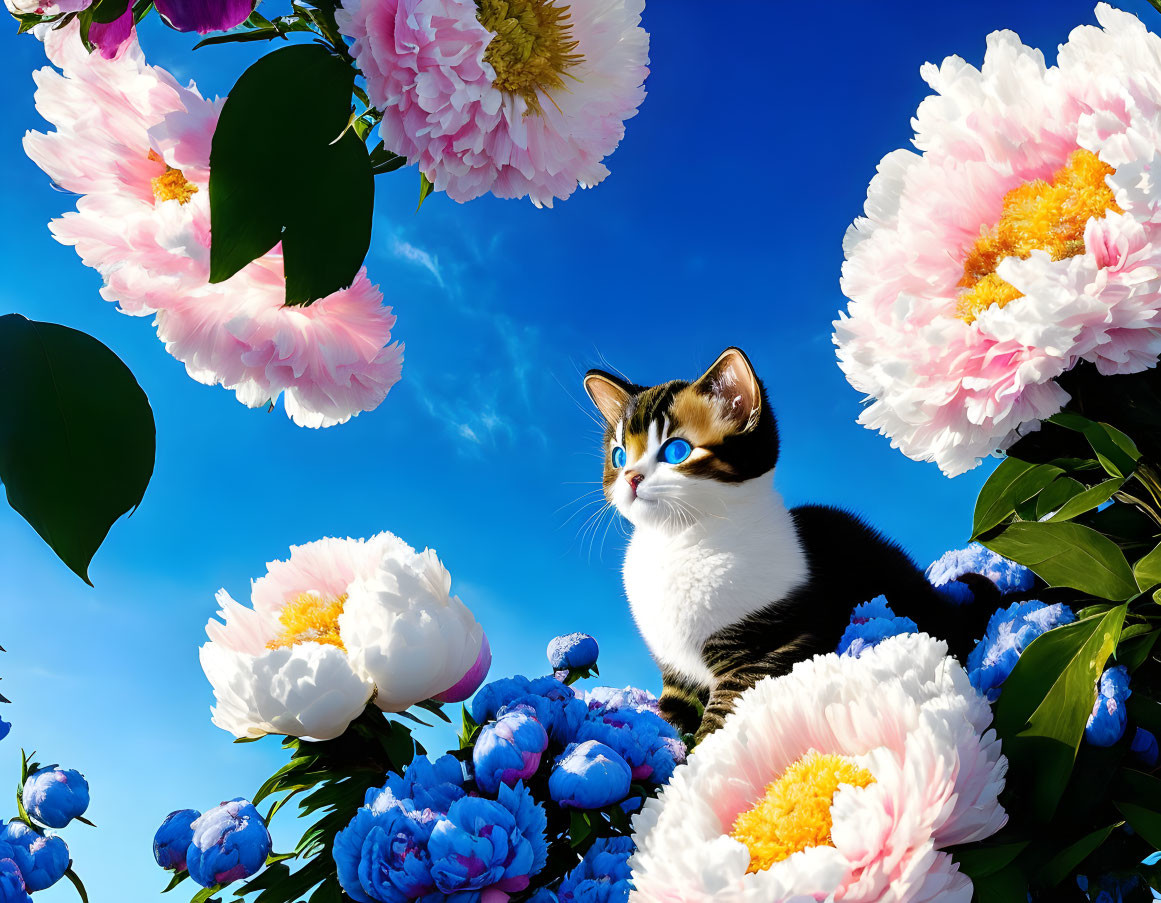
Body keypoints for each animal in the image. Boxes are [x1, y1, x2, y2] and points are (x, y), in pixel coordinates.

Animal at [585, 345, 975, 738]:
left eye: (676, 451)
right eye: (619, 456)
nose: (631, 477)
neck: (678, 540)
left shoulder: (773, 647)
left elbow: (722, 721)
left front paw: (703, 753)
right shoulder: (676, 672)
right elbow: (666, 717)